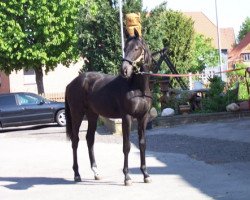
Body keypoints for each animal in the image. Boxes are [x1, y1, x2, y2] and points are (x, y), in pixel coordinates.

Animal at [65, 28, 152, 186]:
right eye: (125, 48)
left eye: (136, 48)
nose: (124, 70)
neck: (137, 88)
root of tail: (71, 83)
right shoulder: (126, 117)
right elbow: (126, 146)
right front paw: (127, 177)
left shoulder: (143, 117)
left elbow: (142, 144)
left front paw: (145, 175)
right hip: (77, 115)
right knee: (75, 141)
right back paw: (77, 174)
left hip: (92, 115)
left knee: (89, 139)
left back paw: (96, 172)